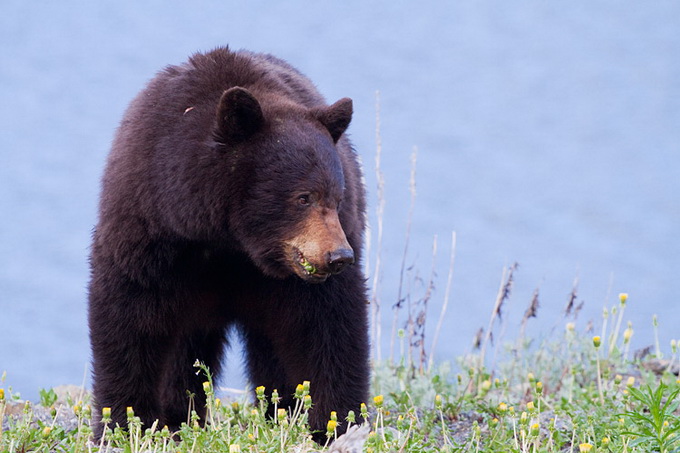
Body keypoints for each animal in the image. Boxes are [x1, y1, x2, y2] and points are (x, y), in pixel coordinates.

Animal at [87, 46, 370, 442]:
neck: (230, 241)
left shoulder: (299, 280)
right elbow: (130, 316)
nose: (339, 256)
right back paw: (180, 416)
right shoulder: (152, 226)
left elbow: (330, 325)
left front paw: (335, 422)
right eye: (303, 197)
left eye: (337, 197)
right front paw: (126, 425)